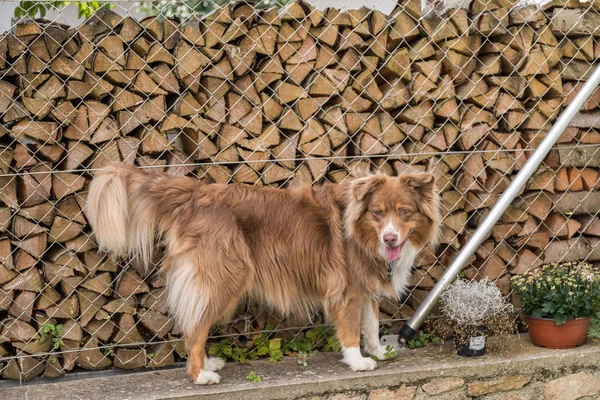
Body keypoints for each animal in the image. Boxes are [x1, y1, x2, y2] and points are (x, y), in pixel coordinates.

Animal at [86, 163, 438, 384]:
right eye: (377, 213)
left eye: (404, 212)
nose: (389, 239)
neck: (359, 230)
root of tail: (197, 193)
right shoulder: (346, 289)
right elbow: (351, 329)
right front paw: (358, 361)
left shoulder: (365, 286)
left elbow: (371, 323)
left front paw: (379, 351)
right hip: (226, 276)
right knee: (195, 327)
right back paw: (200, 375)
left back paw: (206, 363)